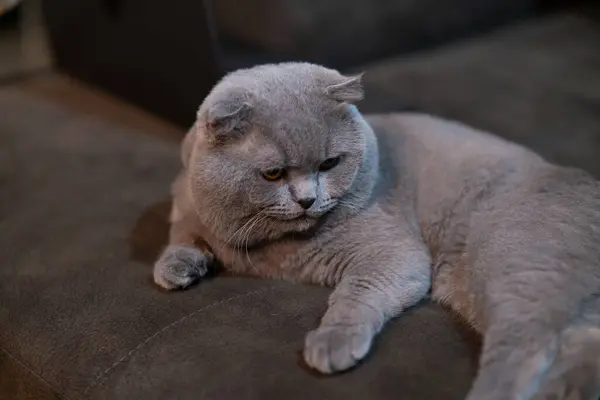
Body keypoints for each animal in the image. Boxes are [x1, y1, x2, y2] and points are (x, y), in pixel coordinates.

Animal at [152, 62, 600, 400]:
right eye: (273, 174)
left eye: (330, 163)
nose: (308, 200)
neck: (269, 249)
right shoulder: (184, 204)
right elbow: (181, 235)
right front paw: (176, 268)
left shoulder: (393, 253)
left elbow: (357, 292)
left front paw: (333, 342)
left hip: (516, 266)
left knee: (525, 346)